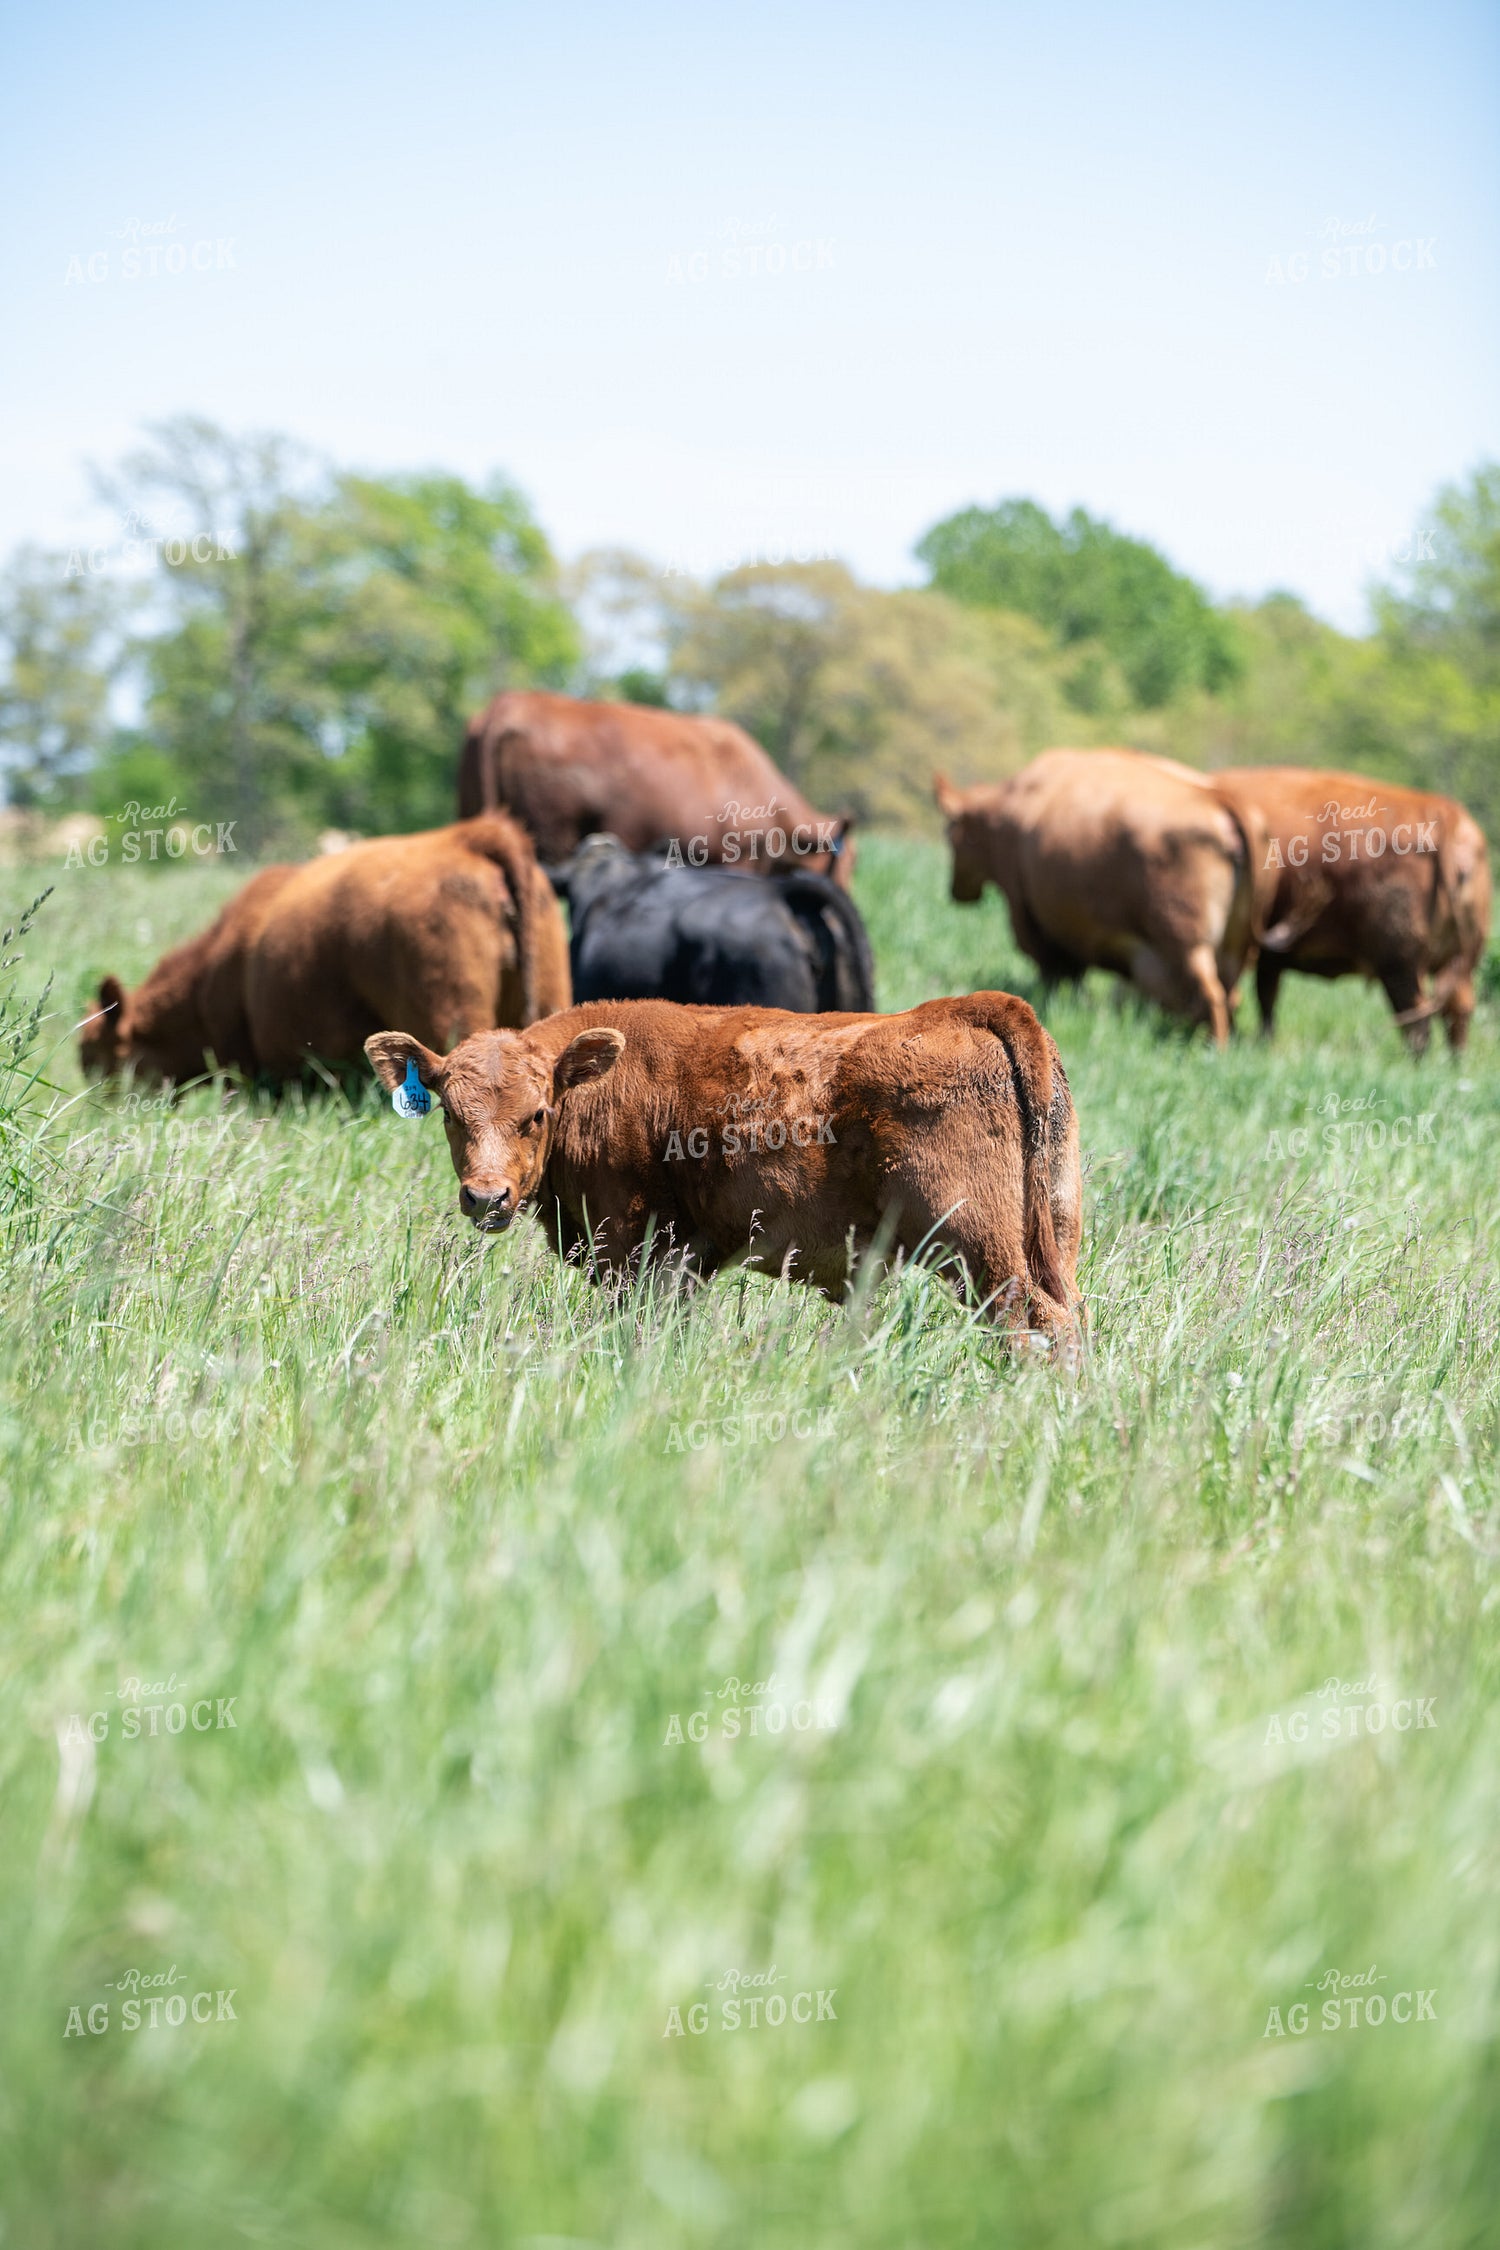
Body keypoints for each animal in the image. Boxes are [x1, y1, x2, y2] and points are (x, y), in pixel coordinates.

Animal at [364, 991, 1084, 1350]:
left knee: (1031, 1324)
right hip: (1051, 1231)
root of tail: (967, 1008)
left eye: (536, 1114)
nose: (487, 1196)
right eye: (452, 1113)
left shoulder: (632, 1247)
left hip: (976, 1246)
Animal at [934, 749, 1273, 1045]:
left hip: (1187, 942)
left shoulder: (1031, 921)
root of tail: (1216, 796)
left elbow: (1058, 975)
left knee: (1211, 996)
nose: (955, 891)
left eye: (951, 831)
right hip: (1231, 949)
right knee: (1228, 996)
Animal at [1211, 766, 1491, 1052]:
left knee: (1416, 1021)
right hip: (1458, 962)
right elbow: (1265, 1000)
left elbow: (1258, 998)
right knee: (1456, 1014)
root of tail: (1446, 812)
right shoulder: (1270, 959)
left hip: (1400, 966)